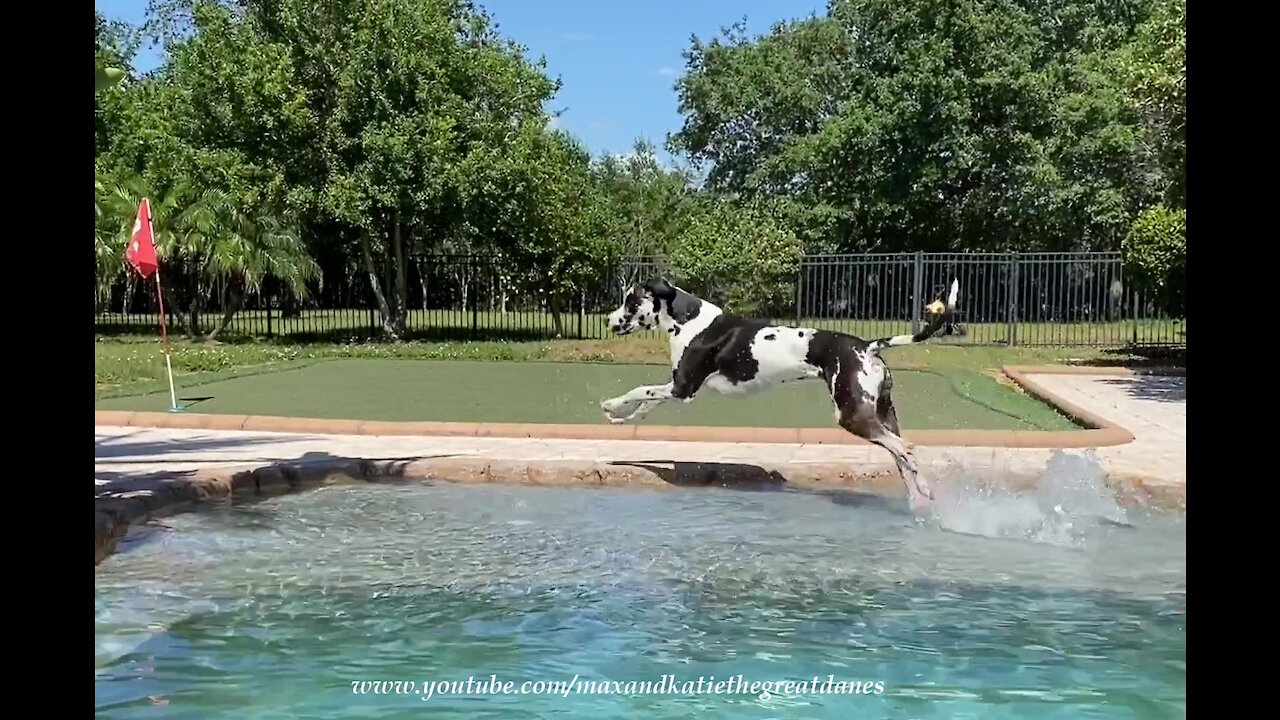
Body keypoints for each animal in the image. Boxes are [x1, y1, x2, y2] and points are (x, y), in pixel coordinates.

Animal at [601, 278, 962, 507]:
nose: (608, 320)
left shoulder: (682, 388)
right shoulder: (677, 389)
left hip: (852, 415)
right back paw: (921, 494)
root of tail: (868, 346)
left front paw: (611, 404)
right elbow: (646, 403)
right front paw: (622, 417)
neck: (690, 320)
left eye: (630, 301)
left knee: (906, 450)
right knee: (901, 457)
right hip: (882, 413)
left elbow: (640, 390)